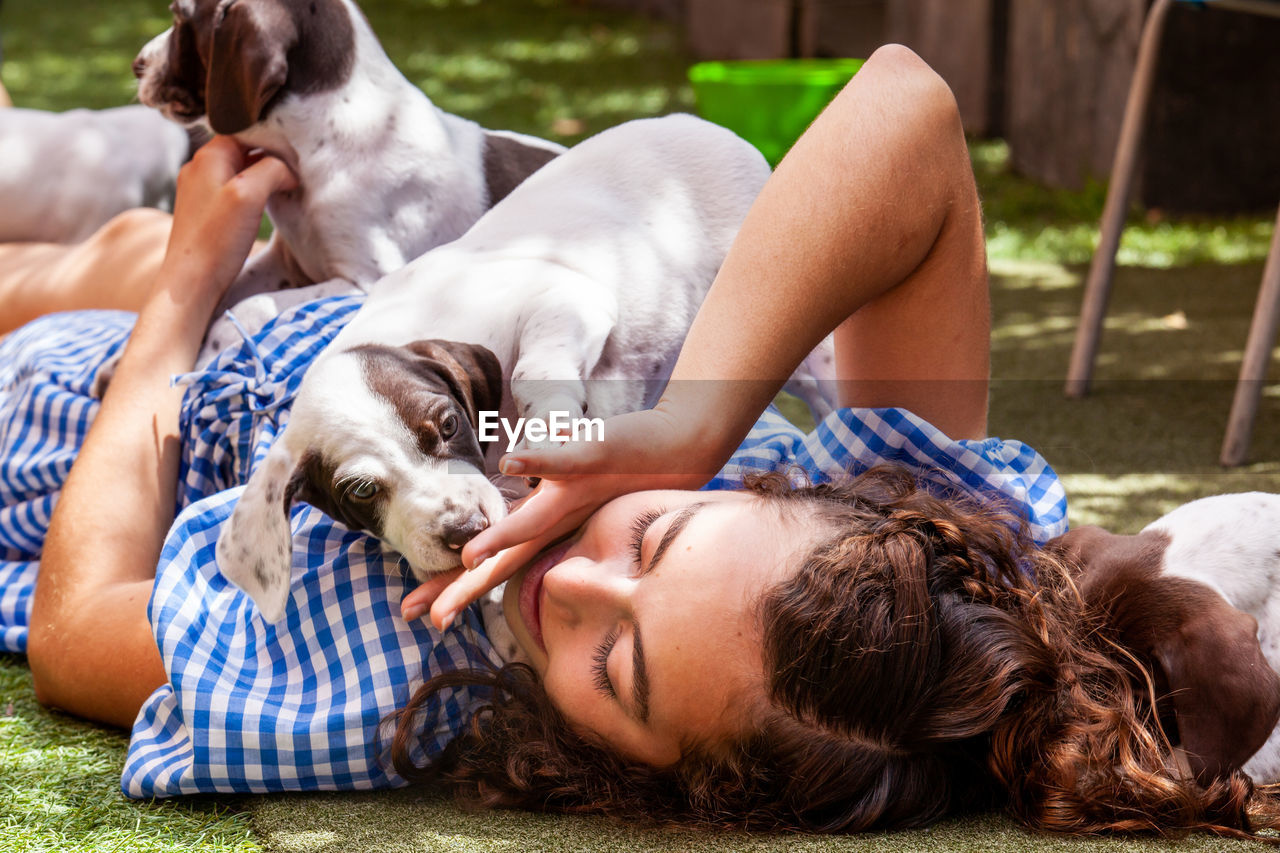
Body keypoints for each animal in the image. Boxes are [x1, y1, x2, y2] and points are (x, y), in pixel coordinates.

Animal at [133, 0, 565, 356]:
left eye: (177, 15)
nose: (137, 64)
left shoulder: (366, 282)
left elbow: (244, 307)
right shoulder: (285, 262)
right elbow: (227, 293)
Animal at [215, 112, 773, 617]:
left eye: (447, 426)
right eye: (364, 490)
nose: (467, 531)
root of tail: (702, 125)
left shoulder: (567, 294)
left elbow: (531, 371)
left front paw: (550, 423)